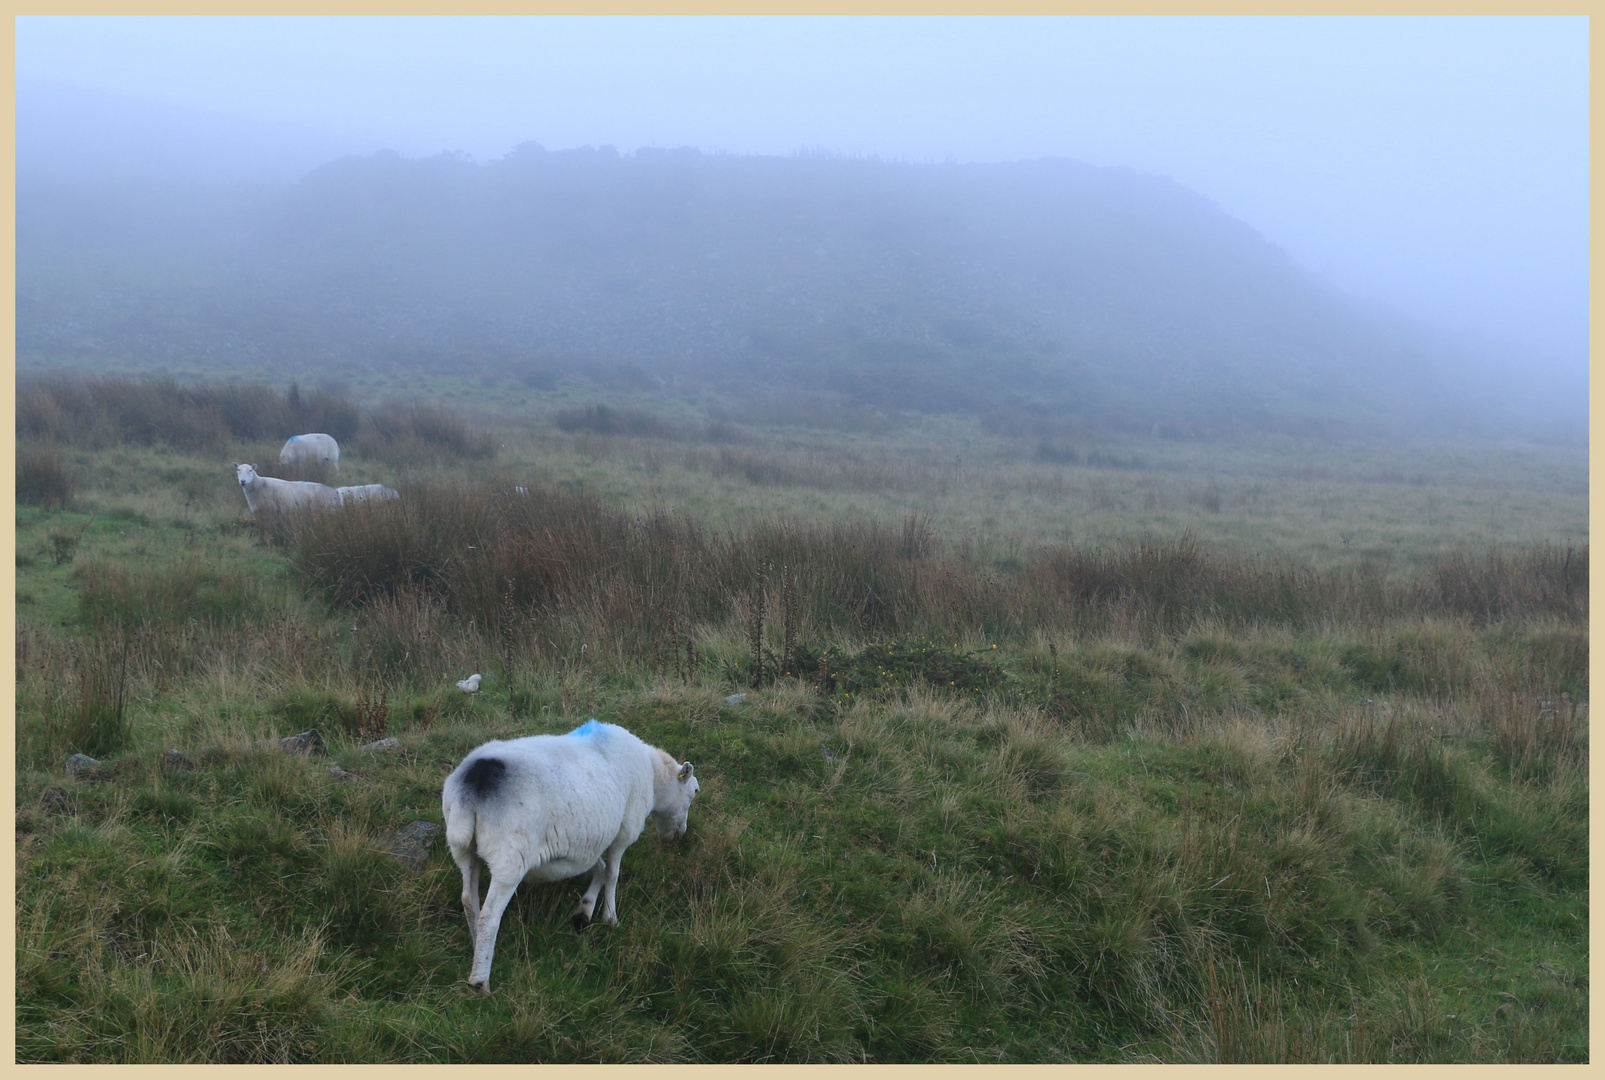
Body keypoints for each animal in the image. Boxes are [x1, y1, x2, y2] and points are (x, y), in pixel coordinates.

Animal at [449, 718, 706, 988]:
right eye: (695, 791)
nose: (680, 833)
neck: (654, 777)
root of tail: (476, 778)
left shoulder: (582, 846)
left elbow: (600, 869)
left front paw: (584, 911)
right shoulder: (623, 832)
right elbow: (612, 874)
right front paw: (610, 918)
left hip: (464, 849)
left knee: (469, 900)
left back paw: (477, 946)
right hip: (509, 858)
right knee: (489, 915)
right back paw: (480, 982)